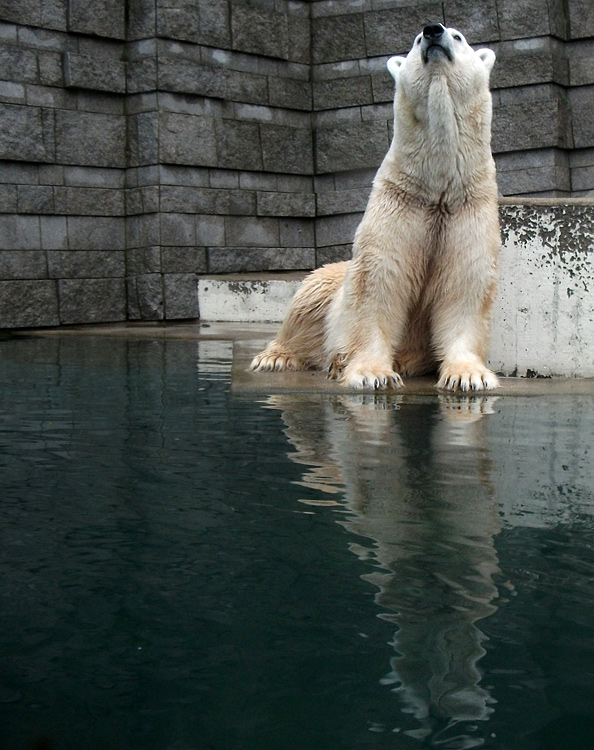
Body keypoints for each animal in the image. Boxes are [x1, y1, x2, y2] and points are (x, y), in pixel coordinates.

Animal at [250, 22, 500, 394]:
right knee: (307, 300)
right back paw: (280, 357)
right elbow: (378, 281)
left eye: (458, 37)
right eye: (415, 39)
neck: (437, 188)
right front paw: (372, 373)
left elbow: (465, 282)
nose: (433, 31)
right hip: (329, 284)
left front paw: (468, 375)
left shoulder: (467, 206)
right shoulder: (400, 203)